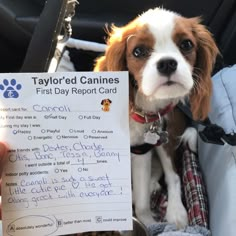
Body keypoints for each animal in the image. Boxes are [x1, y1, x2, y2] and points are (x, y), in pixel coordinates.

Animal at [93, 7, 218, 229]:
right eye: (138, 51)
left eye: (186, 44)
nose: (167, 63)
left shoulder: (142, 152)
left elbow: (143, 200)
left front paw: (149, 223)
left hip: (165, 142)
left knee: (172, 175)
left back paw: (174, 209)